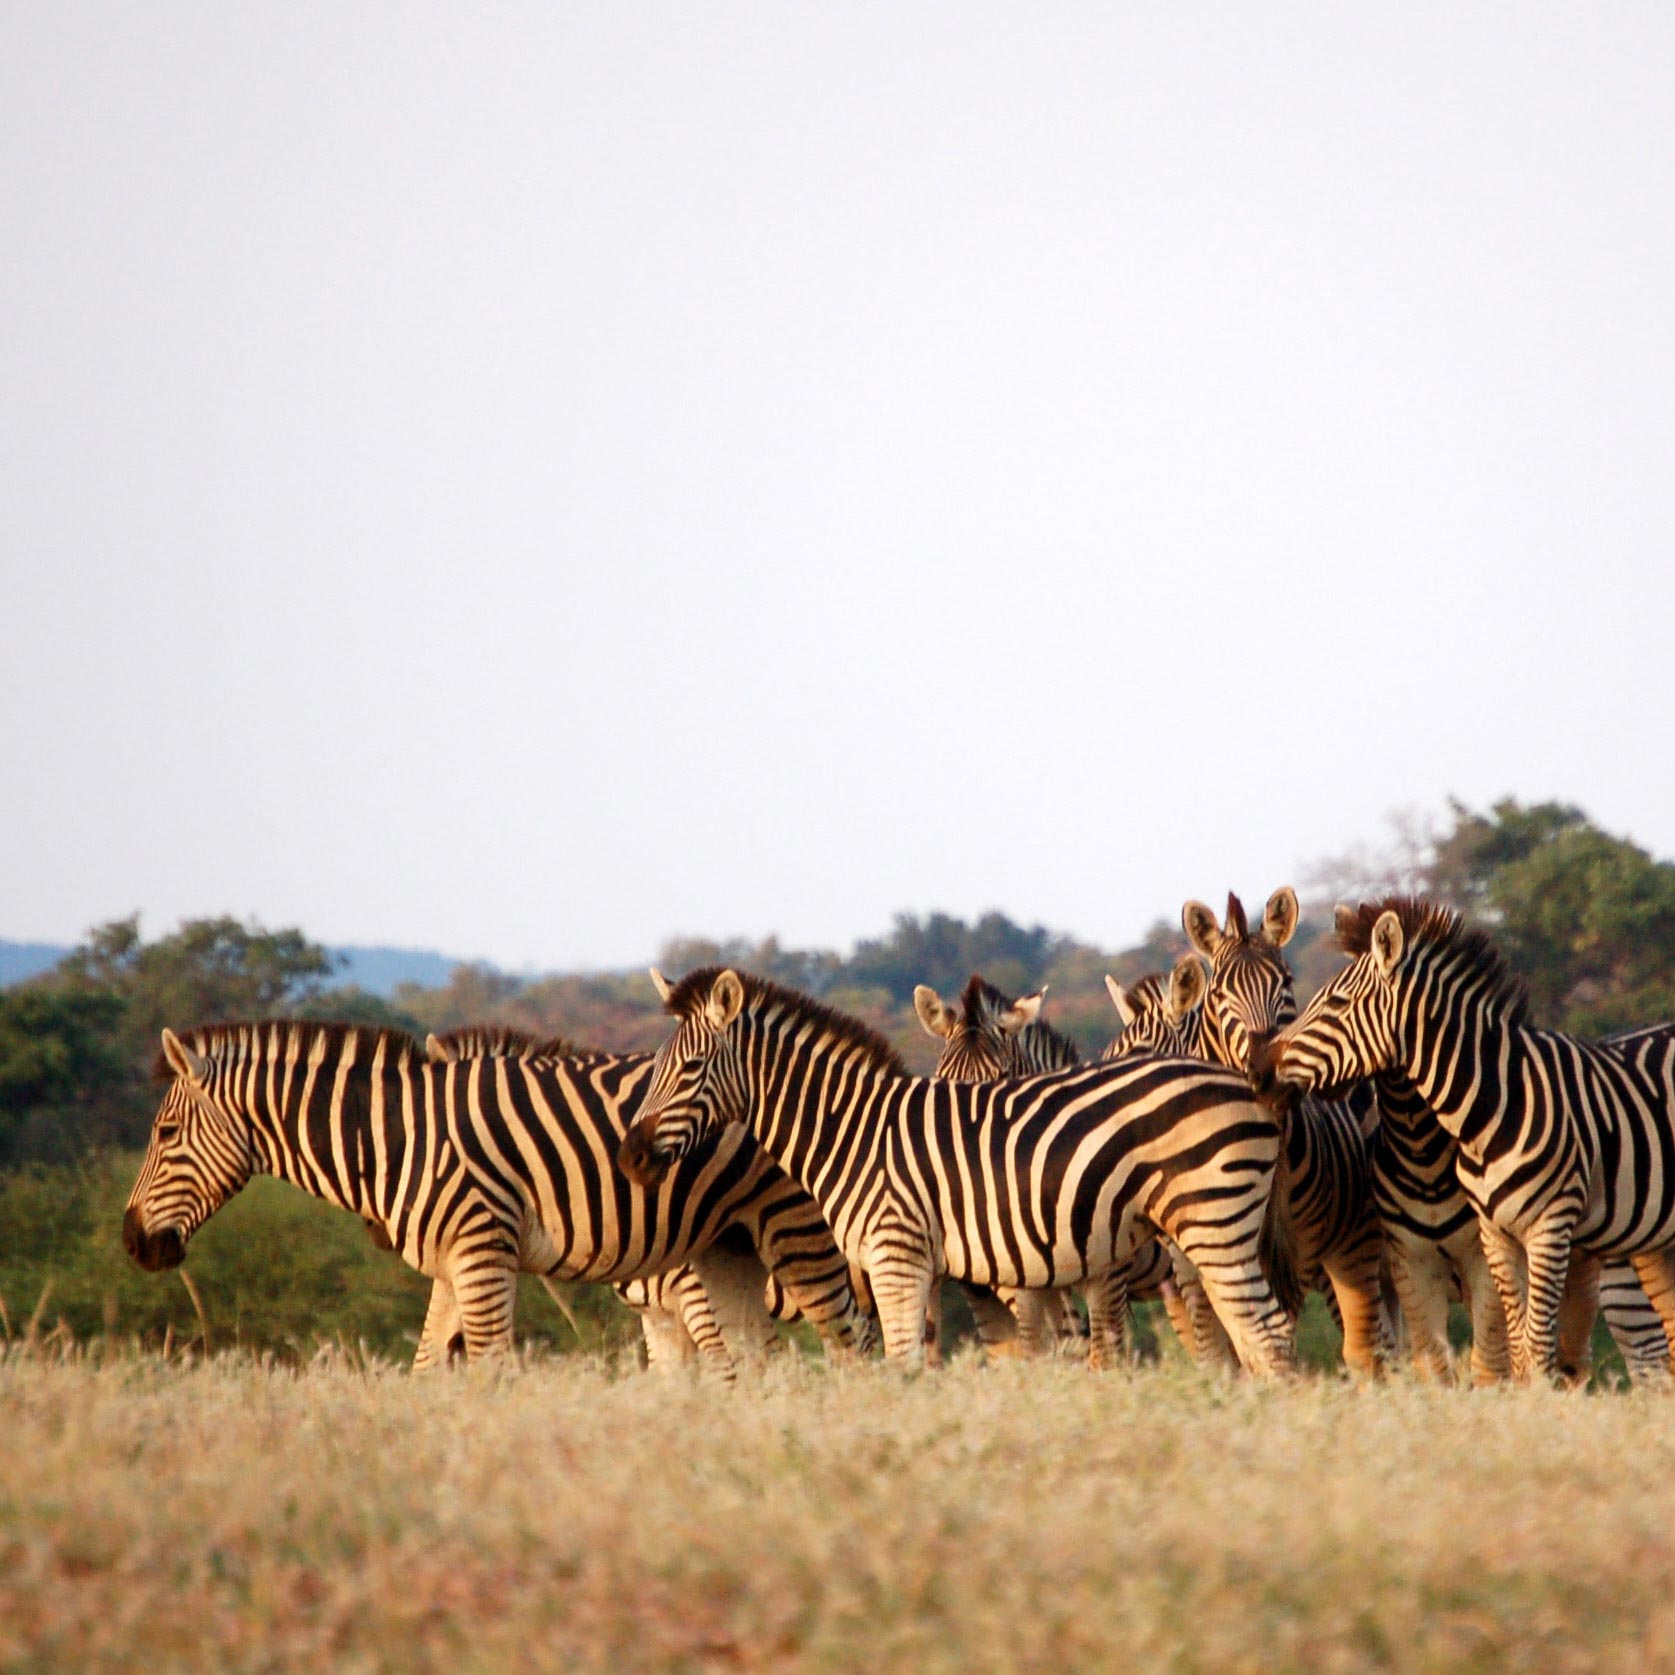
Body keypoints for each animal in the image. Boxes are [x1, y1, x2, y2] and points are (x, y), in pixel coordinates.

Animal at [122, 1018, 872, 1372]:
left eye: (164, 1133)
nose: (132, 1241)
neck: (408, 1136)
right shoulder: (457, 1266)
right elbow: (428, 1366)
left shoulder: (485, 1254)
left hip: (804, 1235)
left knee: (855, 1340)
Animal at [1253, 897, 1675, 1382]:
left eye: (1336, 1003)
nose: (1258, 1070)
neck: (1492, 1110)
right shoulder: (1487, 1238)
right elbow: (1504, 1349)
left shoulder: (1546, 1228)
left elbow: (1527, 1347)